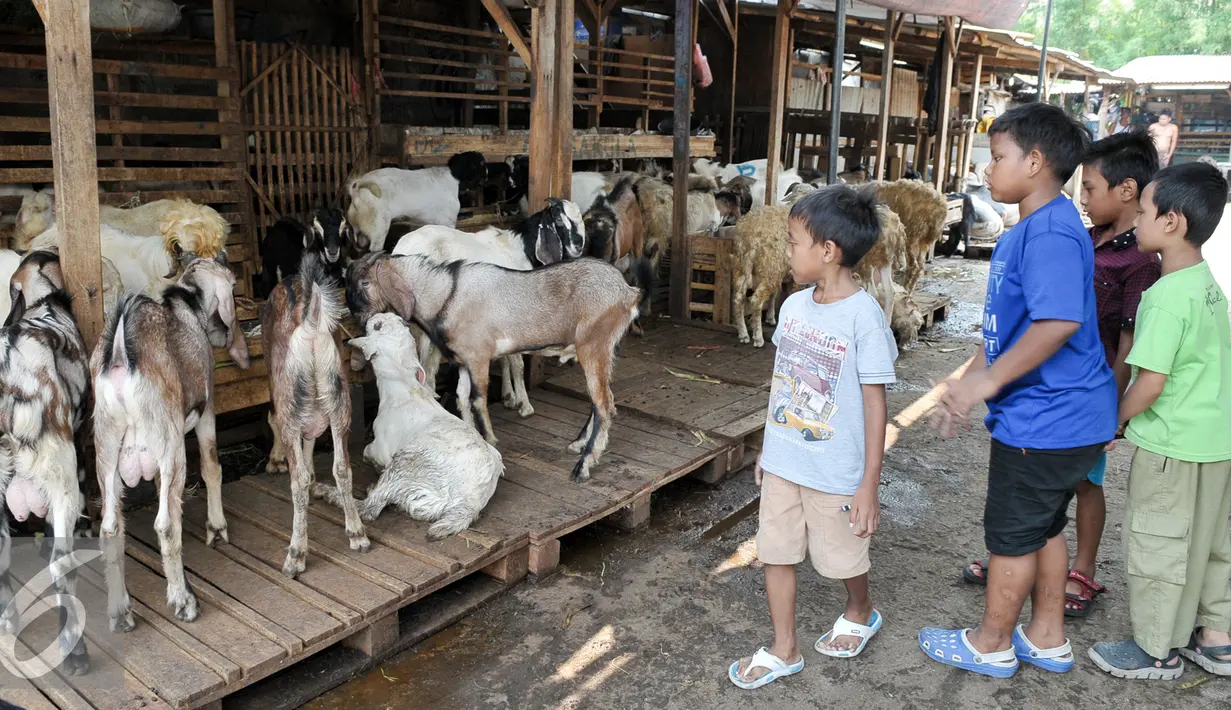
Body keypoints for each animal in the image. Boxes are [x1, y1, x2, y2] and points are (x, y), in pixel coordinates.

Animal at [94, 253, 254, 625]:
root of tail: (120, 359)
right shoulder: (207, 410)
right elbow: (211, 466)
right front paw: (217, 529)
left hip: (105, 448)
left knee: (110, 526)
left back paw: (119, 611)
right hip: (171, 447)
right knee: (165, 526)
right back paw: (184, 601)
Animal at [260, 252, 366, 578]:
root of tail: (310, 326)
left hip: (291, 409)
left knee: (299, 480)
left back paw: (295, 555)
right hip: (339, 403)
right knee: (342, 468)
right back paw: (357, 533)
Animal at [322, 313, 509, 536]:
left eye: (377, 326)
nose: (379, 315)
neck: (404, 390)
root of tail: (469, 502)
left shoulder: (382, 448)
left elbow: (368, 452)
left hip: (405, 462)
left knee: (370, 508)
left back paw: (328, 492)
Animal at [344, 251, 640, 482]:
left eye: (365, 282)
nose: (354, 312)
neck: (446, 296)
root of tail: (628, 292)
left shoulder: (478, 358)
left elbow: (478, 399)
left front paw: (490, 440)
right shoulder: (463, 361)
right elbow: (462, 398)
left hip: (593, 345)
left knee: (603, 404)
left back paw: (583, 466)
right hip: (606, 350)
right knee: (603, 398)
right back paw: (579, 445)